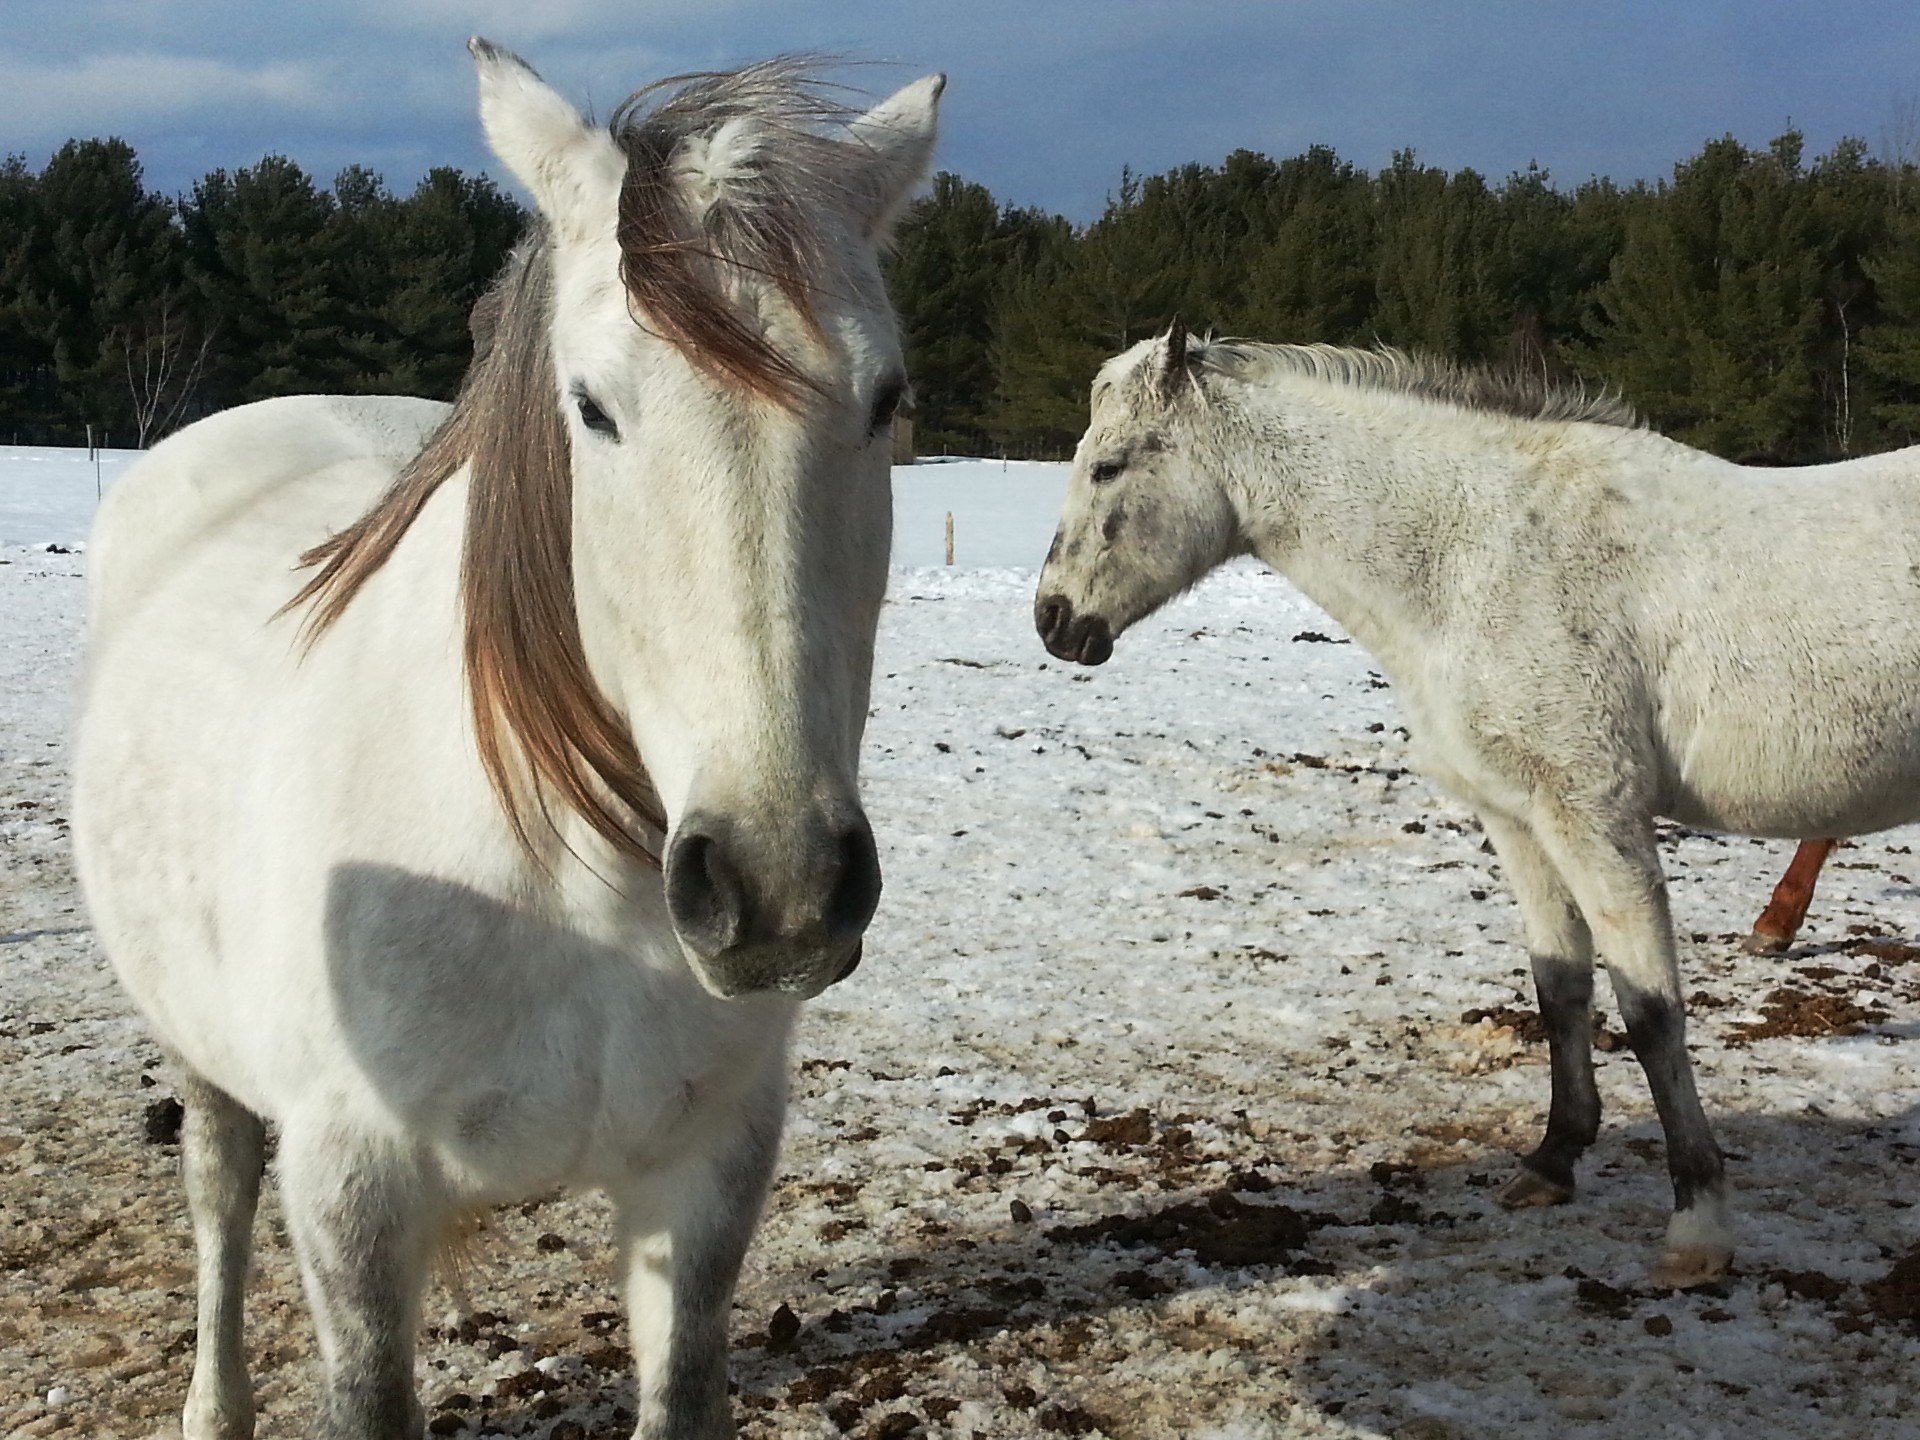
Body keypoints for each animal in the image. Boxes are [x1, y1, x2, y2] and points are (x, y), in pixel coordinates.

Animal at [72, 39, 936, 1436]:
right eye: (591, 407)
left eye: (885, 398)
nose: (782, 891)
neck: (573, 893)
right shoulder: (354, 1193)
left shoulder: (707, 1174)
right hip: (198, 1047)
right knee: (217, 1187)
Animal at [1044, 332, 1920, 1290]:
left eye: (1108, 466)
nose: (1054, 621)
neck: (1483, 556)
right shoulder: (1518, 817)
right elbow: (1560, 986)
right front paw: (1551, 1162)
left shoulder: (1594, 814)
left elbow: (1650, 1011)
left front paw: (1698, 1226)